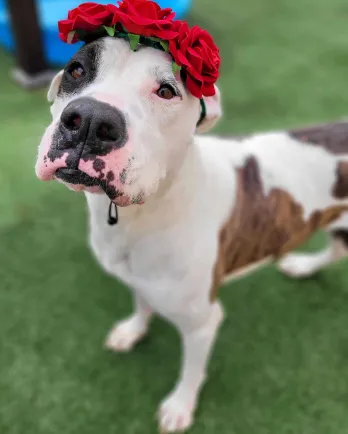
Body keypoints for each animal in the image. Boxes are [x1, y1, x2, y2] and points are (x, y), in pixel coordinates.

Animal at [34, 36, 348, 430]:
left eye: (167, 91)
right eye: (76, 69)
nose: (90, 120)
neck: (143, 216)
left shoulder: (203, 323)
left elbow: (191, 372)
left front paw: (180, 407)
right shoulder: (139, 277)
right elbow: (142, 301)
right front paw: (133, 329)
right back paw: (305, 267)